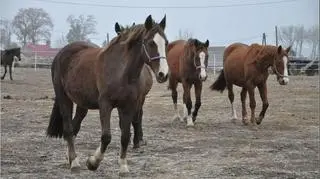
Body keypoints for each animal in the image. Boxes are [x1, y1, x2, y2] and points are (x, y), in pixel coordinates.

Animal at [47, 14, 170, 174]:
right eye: (151, 43)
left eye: (166, 43)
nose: (163, 74)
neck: (121, 71)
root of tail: (61, 53)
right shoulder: (105, 104)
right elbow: (106, 137)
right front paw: (93, 162)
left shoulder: (128, 106)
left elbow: (125, 136)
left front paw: (123, 166)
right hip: (64, 97)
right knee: (68, 129)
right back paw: (74, 162)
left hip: (82, 104)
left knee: (74, 127)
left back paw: (69, 157)